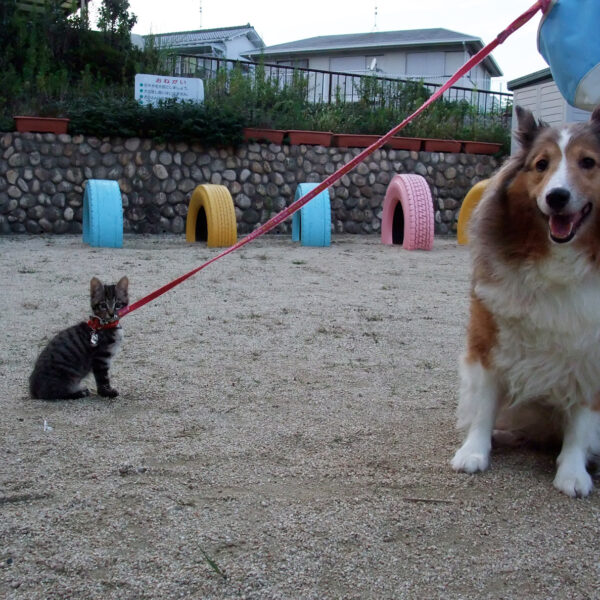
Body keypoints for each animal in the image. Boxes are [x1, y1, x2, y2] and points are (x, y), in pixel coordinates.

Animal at [452, 104, 600, 496]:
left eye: (588, 162)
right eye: (541, 164)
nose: (557, 197)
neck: (558, 260)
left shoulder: (592, 356)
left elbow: (582, 420)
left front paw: (573, 473)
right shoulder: (489, 339)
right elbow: (484, 403)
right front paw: (474, 452)